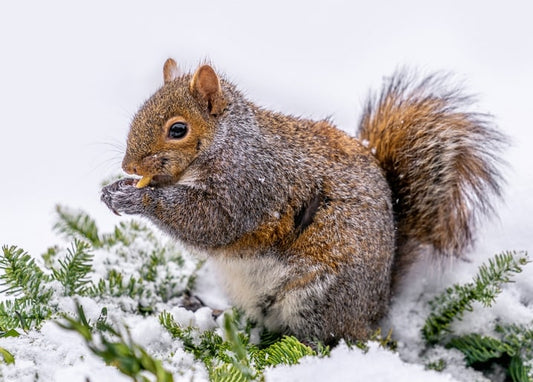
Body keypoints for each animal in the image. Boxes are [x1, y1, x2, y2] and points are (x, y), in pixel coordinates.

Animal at [102, 58, 504, 344]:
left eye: (178, 129)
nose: (129, 166)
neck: (227, 142)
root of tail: (375, 309)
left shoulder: (250, 185)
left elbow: (211, 222)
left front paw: (138, 197)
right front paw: (116, 188)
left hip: (318, 293)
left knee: (324, 336)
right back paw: (216, 314)